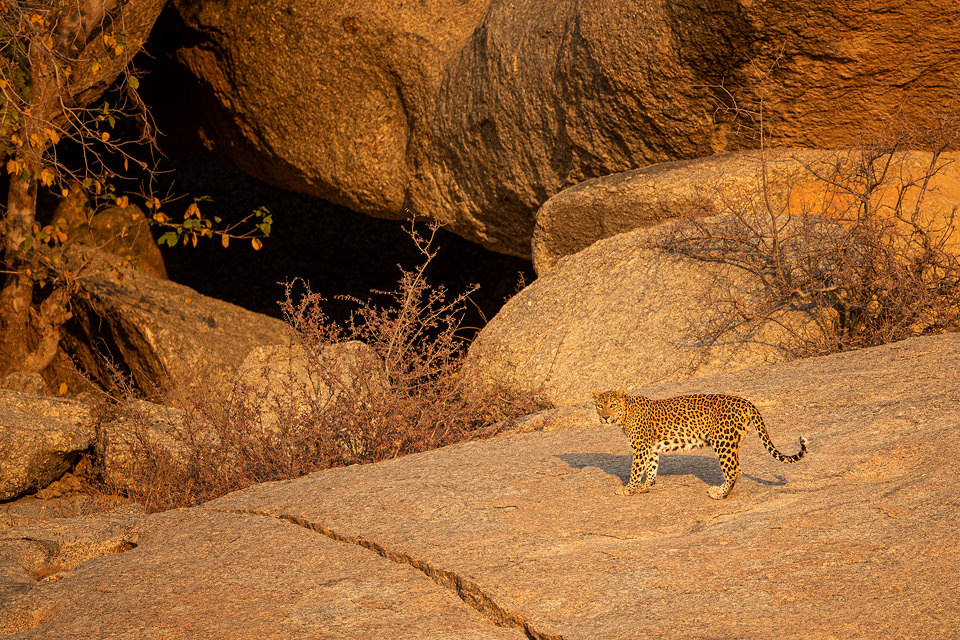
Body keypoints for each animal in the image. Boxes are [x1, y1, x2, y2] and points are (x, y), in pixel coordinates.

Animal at [588, 390, 808, 500]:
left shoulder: (640, 447)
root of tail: (746, 402)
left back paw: (719, 493)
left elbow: (635, 470)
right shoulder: (650, 448)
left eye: (612, 405)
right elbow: (651, 467)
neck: (624, 414)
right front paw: (646, 486)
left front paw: (628, 489)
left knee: (733, 470)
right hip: (733, 442)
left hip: (723, 441)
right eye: (599, 405)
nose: (605, 417)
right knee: (737, 469)